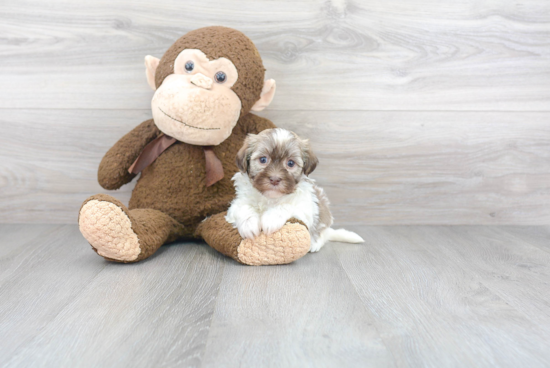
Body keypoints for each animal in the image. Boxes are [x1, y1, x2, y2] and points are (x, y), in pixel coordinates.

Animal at [226, 128, 364, 252]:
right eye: (263, 159)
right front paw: (248, 224)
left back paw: (315, 244)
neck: (270, 198)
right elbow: (243, 207)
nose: (275, 179)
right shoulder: (236, 204)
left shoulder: (306, 208)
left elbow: (287, 205)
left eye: (291, 163)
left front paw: (271, 218)